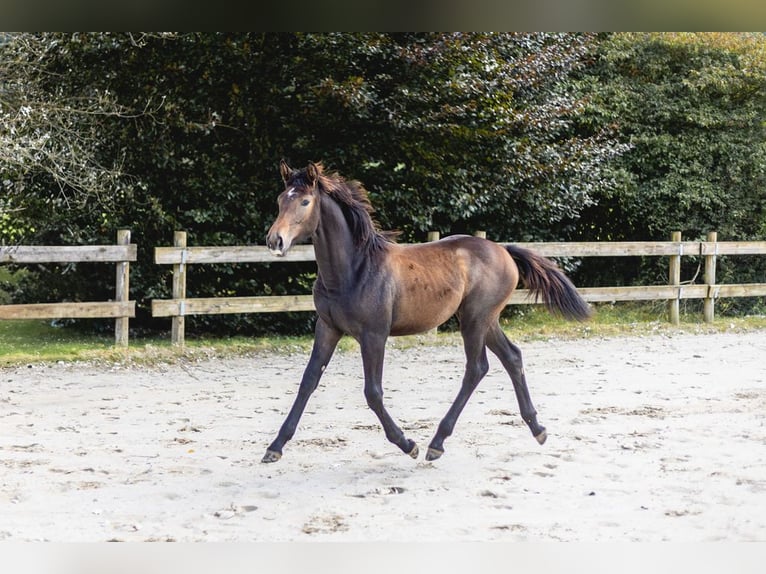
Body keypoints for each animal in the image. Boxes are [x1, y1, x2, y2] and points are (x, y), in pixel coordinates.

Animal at [260, 161, 592, 464]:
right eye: (280, 199)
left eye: (305, 201)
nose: (275, 240)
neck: (353, 269)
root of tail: (504, 250)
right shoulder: (328, 328)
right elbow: (308, 381)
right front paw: (274, 447)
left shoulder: (374, 335)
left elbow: (373, 392)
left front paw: (408, 444)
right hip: (486, 320)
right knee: (512, 357)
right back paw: (537, 428)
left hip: (475, 319)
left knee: (477, 367)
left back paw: (437, 443)